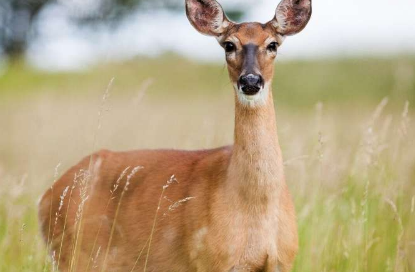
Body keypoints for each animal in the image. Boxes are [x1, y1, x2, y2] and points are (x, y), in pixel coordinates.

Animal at [39, 0, 312, 270]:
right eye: (229, 45)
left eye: (273, 44)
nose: (251, 81)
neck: (255, 206)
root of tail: (46, 197)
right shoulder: (209, 260)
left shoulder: (283, 261)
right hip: (74, 254)